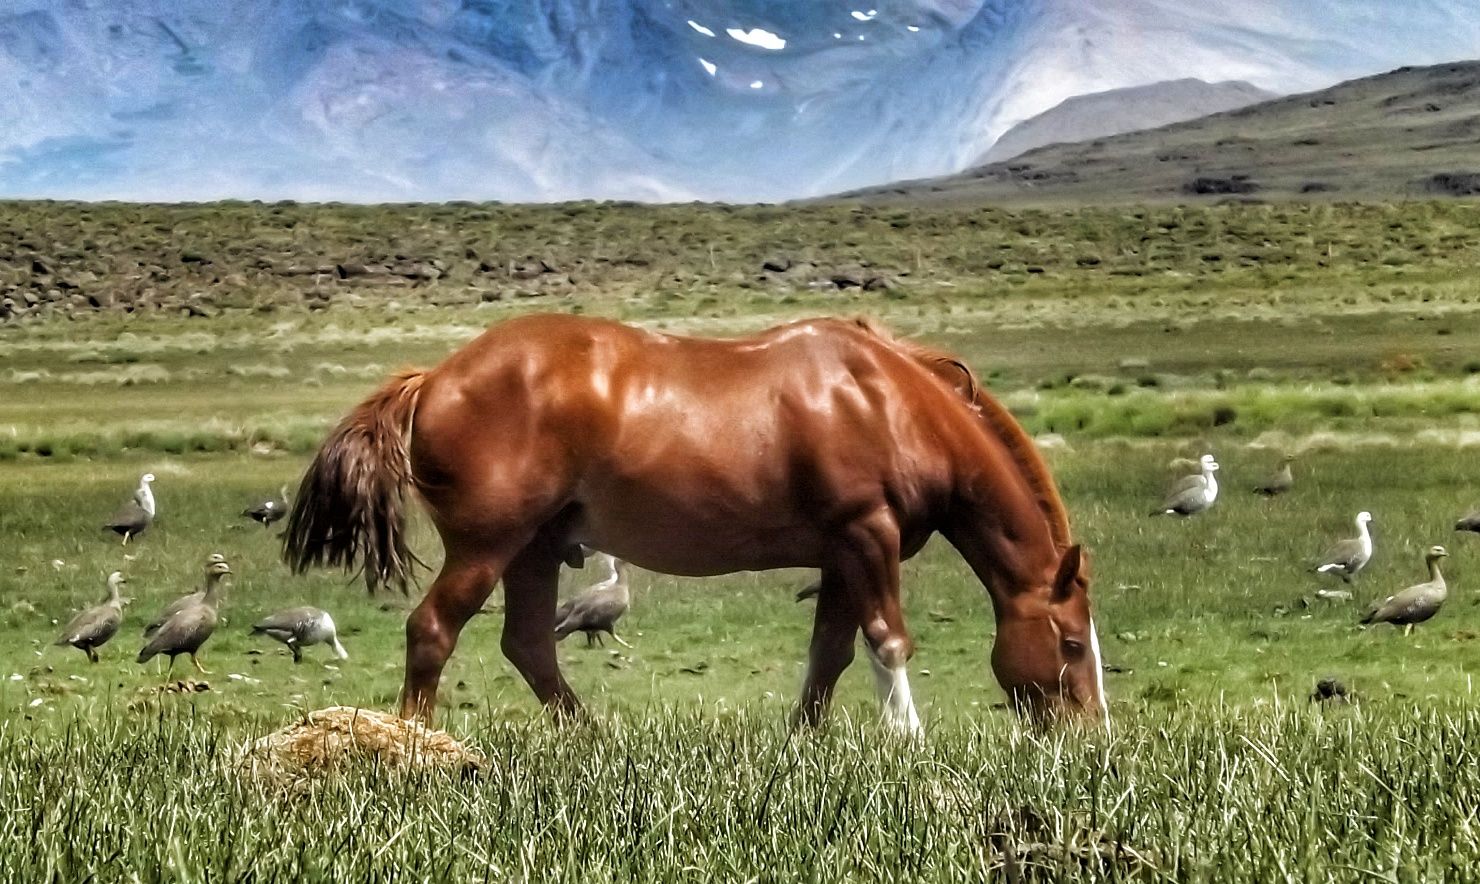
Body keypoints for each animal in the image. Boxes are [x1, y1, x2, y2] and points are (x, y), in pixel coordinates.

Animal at [283, 313, 1106, 733]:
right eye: (1070, 643)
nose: (1090, 738)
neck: (888, 401)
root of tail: (433, 378)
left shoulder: (840, 554)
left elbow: (829, 656)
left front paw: (803, 744)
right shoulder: (868, 536)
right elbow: (888, 644)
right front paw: (907, 744)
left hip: (536, 549)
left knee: (529, 646)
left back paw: (591, 740)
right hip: (487, 547)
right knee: (432, 632)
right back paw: (416, 746)